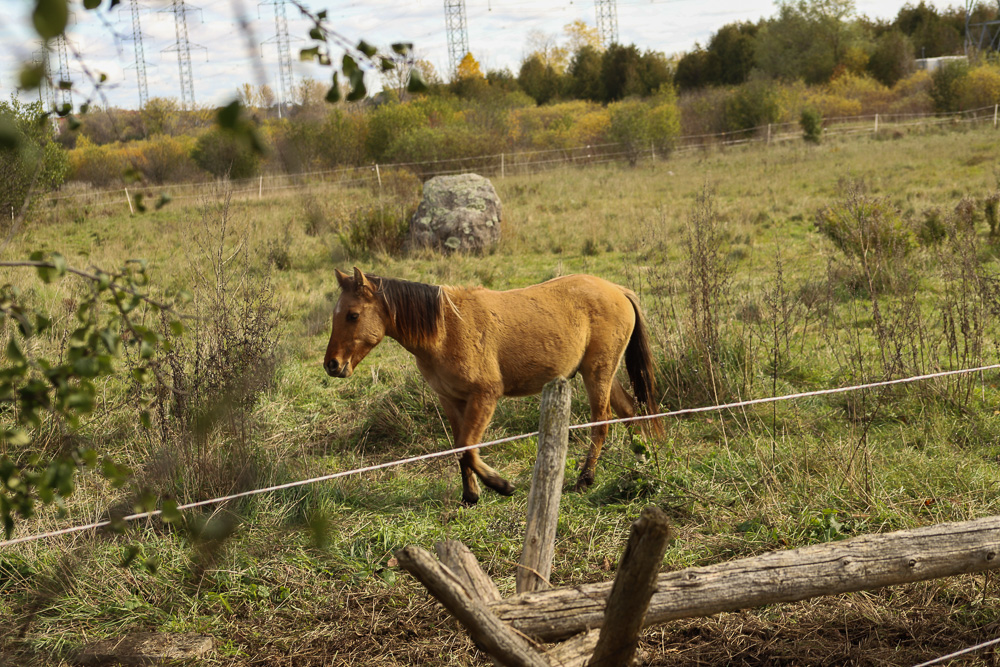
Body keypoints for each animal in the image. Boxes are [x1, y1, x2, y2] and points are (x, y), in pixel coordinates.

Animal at [324, 268, 660, 504]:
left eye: (353, 315)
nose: (332, 365)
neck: (447, 328)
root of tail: (617, 290)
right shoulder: (451, 399)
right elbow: (460, 447)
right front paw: (470, 495)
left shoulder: (485, 395)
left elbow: (468, 447)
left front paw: (501, 485)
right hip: (603, 374)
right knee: (630, 412)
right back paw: (643, 461)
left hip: (597, 374)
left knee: (601, 422)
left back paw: (585, 479)